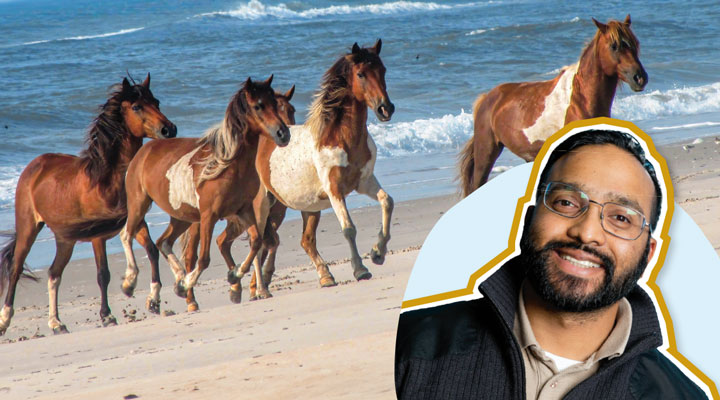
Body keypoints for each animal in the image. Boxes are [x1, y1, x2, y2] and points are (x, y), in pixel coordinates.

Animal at [0, 75, 177, 334]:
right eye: (136, 107)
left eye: (156, 102)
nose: (169, 129)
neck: (106, 179)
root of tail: (34, 165)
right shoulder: (98, 235)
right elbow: (103, 274)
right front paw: (108, 314)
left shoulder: (136, 220)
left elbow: (152, 251)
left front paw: (150, 298)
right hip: (28, 228)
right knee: (15, 269)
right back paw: (5, 320)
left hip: (65, 239)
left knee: (54, 274)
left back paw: (56, 323)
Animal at [118, 76, 290, 310]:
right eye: (258, 106)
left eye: (274, 103)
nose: (283, 134)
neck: (229, 164)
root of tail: (142, 152)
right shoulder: (209, 216)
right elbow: (204, 258)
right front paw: (187, 284)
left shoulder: (243, 210)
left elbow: (256, 241)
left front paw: (233, 275)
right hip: (139, 204)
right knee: (127, 235)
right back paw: (131, 283)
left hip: (182, 216)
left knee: (163, 242)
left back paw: (171, 284)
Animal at [217, 39, 394, 300]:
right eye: (361, 74)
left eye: (383, 70)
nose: (385, 109)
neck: (339, 139)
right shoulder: (334, 190)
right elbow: (348, 228)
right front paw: (360, 269)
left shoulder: (364, 182)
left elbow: (387, 202)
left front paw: (378, 253)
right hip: (262, 206)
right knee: (256, 242)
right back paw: (257, 288)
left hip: (301, 208)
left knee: (297, 241)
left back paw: (320, 277)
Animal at [462, 14, 648, 196]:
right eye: (614, 46)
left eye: (635, 43)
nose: (640, 78)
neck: (581, 99)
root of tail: (487, 98)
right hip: (486, 153)